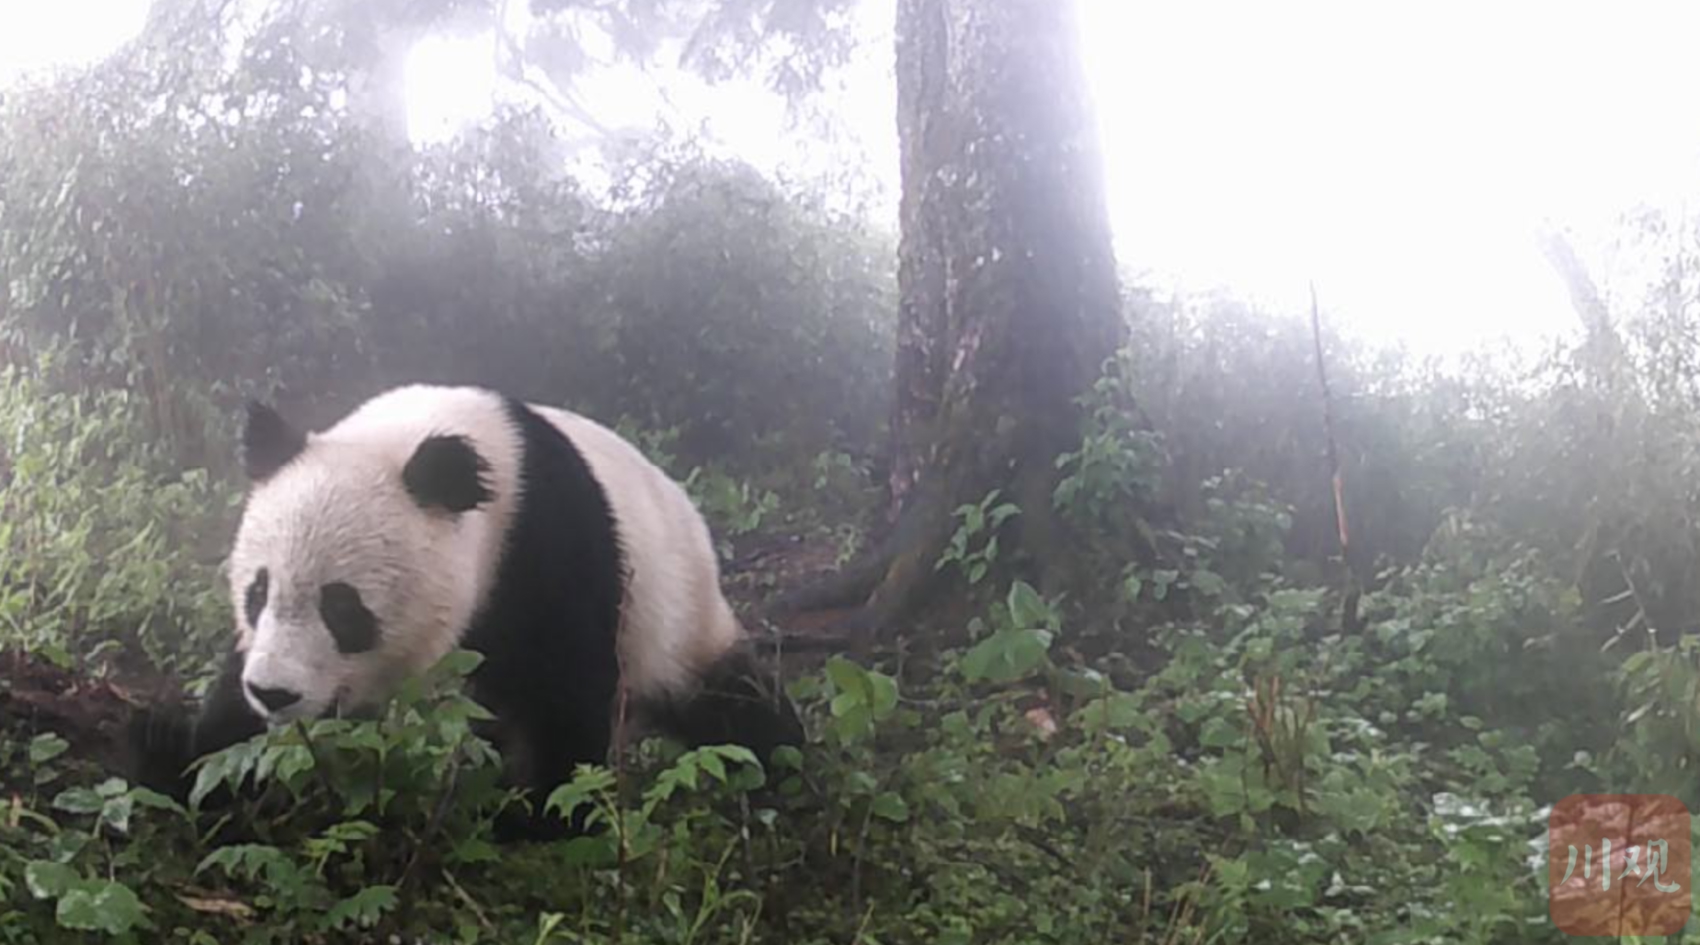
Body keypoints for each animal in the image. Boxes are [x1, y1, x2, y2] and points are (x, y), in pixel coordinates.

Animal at [125, 380, 802, 839]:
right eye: (258, 592)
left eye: (343, 609)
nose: (275, 693)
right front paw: (182, 757)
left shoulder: (547, 543)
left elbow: (569, 687)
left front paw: (541, 816)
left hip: (674, 615)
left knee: (731, 702)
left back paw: (783, 763)